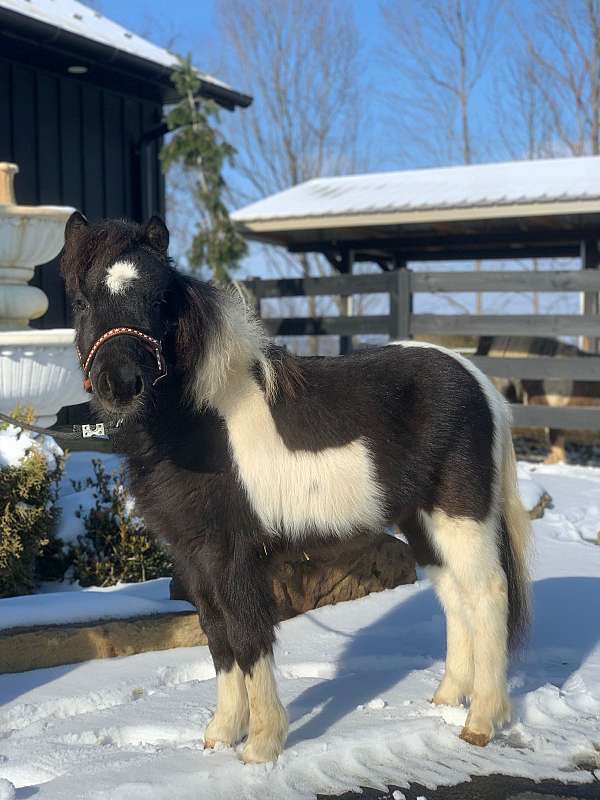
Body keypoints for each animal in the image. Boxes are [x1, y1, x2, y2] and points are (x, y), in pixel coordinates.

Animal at [60, 212, 531, 763]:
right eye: (82, 300)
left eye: (159, 300)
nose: (122, 383)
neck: (200, 423)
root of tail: (480, 382)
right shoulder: (194, 560)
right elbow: (218, 639)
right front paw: (221, 734)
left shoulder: (232, 557)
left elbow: (248, 637)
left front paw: (261, 746)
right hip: (422, 523)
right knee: (456, 598)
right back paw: (445, 699)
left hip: (462, 516)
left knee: (488, 593)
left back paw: (480, 722)